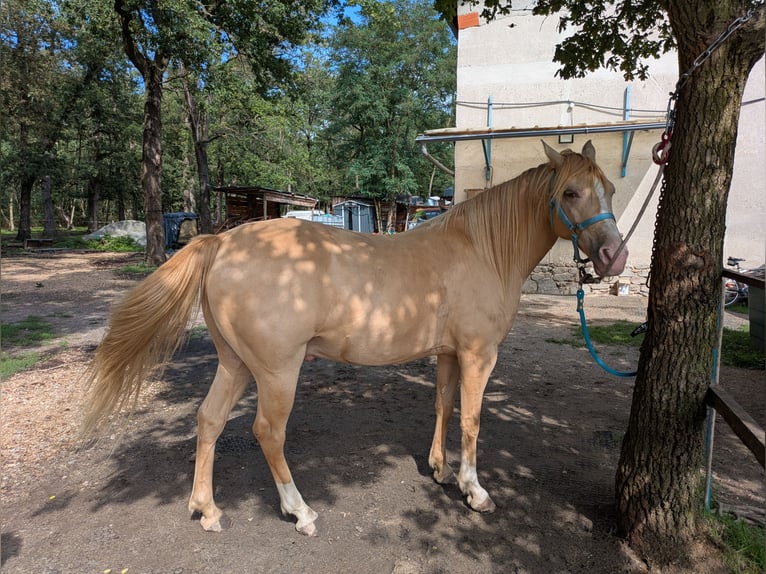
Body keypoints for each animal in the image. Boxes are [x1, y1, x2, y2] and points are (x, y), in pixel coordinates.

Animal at [83, 140, 628, 537]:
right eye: (572, 192)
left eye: (609, 189)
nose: (613, 258)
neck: (481, 249)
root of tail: (220, 242)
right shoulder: (478, 355)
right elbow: (472, 421)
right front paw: (475, 491)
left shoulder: (449, 354)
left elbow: (443, 406)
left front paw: (439, 469)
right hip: (277, 372)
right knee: (268, 432)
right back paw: (300, 511)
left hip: (235, 364)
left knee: (209, 420)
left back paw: (208, 510)